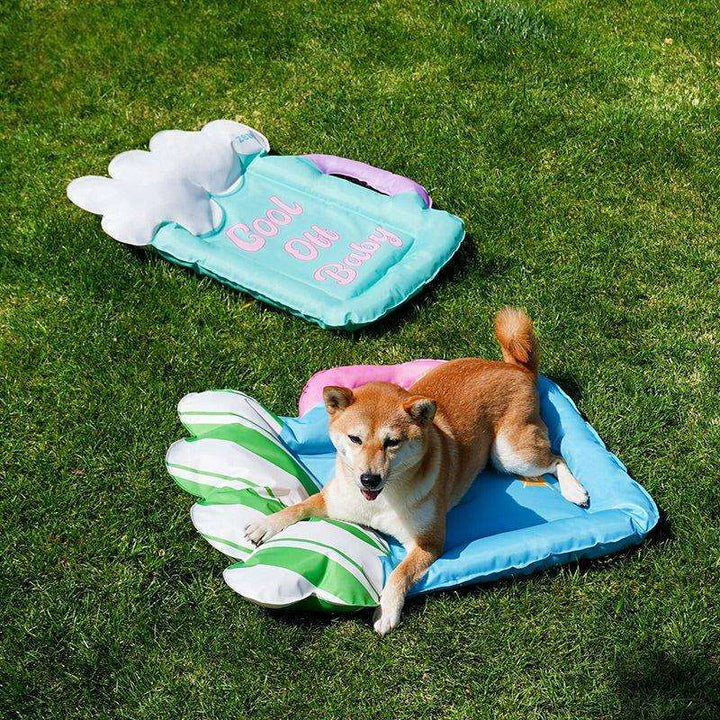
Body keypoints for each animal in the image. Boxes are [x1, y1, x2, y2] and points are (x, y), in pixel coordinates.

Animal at [245, 306, 588, 632]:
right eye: (355, 439)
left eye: (392, 442)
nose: (369, 479)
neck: (381, 501)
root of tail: (515, 367)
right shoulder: (334, 501)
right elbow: (300, 507)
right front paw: (265, 524)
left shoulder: (427, 543)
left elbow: (398, 573)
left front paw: (387, 610)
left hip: (509, 454)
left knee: (556, 458)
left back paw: (575, 490)